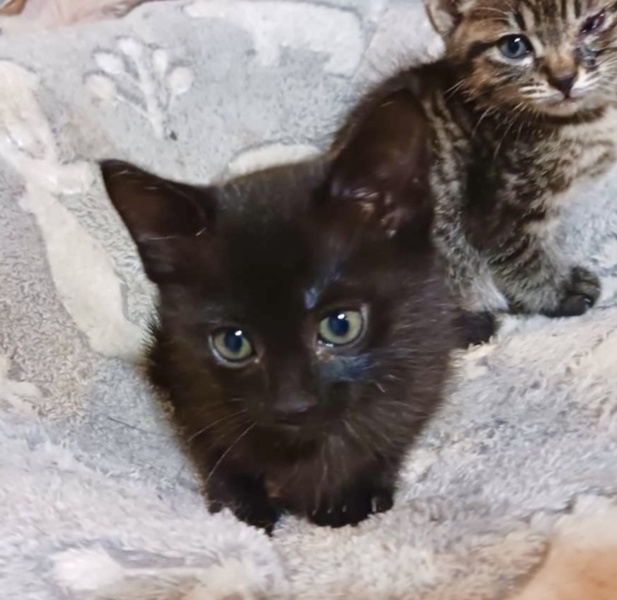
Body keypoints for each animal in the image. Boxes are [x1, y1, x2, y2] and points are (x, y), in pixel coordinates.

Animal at [100, 91, 461, 532]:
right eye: (233, 343)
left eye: (341, 325)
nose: (293, 404)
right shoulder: (185, 379)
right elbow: (214, 447)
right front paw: (241, 509)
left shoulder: (423, 367)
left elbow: (392, 436)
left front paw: (351, 497)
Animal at [335, 0, 617, 321]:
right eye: (514, 46)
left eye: (593, 24)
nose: (564, 79)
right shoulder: (497, 207)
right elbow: (519, 257)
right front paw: (561, 292)